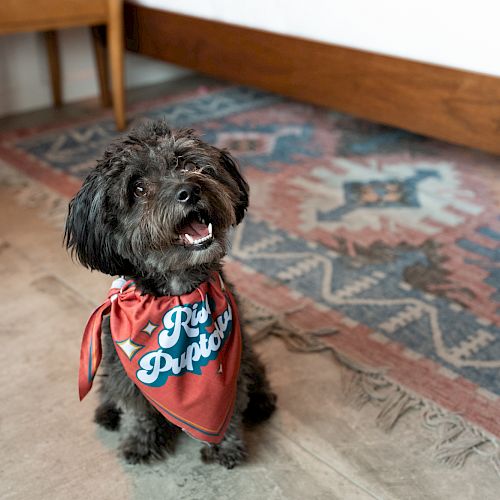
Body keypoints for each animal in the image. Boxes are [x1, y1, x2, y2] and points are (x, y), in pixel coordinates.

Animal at [64, 121, 276, 468]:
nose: (190, 190)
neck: (178, 294)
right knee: (109, 388)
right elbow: (138, 409)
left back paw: (262, 401)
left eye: (187, 163)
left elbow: (231, 410)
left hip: (248, 355)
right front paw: (140, 441)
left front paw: (226, 446)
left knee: (256, 373)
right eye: (137, 188)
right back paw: (107, 411)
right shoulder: (125, 371)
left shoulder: (233, 369)